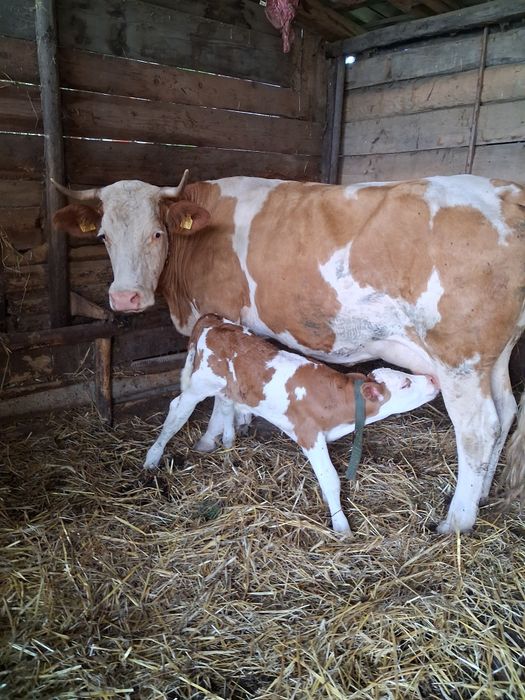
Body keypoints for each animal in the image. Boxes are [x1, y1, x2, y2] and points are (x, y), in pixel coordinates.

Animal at [143, 314, 440, 533]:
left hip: (228, 386)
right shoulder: (309, 435)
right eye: (406, 383)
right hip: (200, 384)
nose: (434, 379)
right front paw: (341, 525)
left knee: (224, 404)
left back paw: (226, 442)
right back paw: (152, 458)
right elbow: (331, 479)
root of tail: (213, 320)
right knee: (176, 411)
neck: (336, 401)